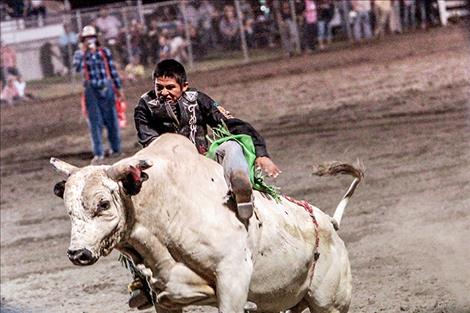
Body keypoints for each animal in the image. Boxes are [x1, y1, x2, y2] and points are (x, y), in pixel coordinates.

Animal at [50, 133, 364, 312]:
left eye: (103, 203)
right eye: (68, 209)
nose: (78, 253)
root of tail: (329, 223)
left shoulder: (233, 280)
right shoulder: (166, 298)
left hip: (329, 304)